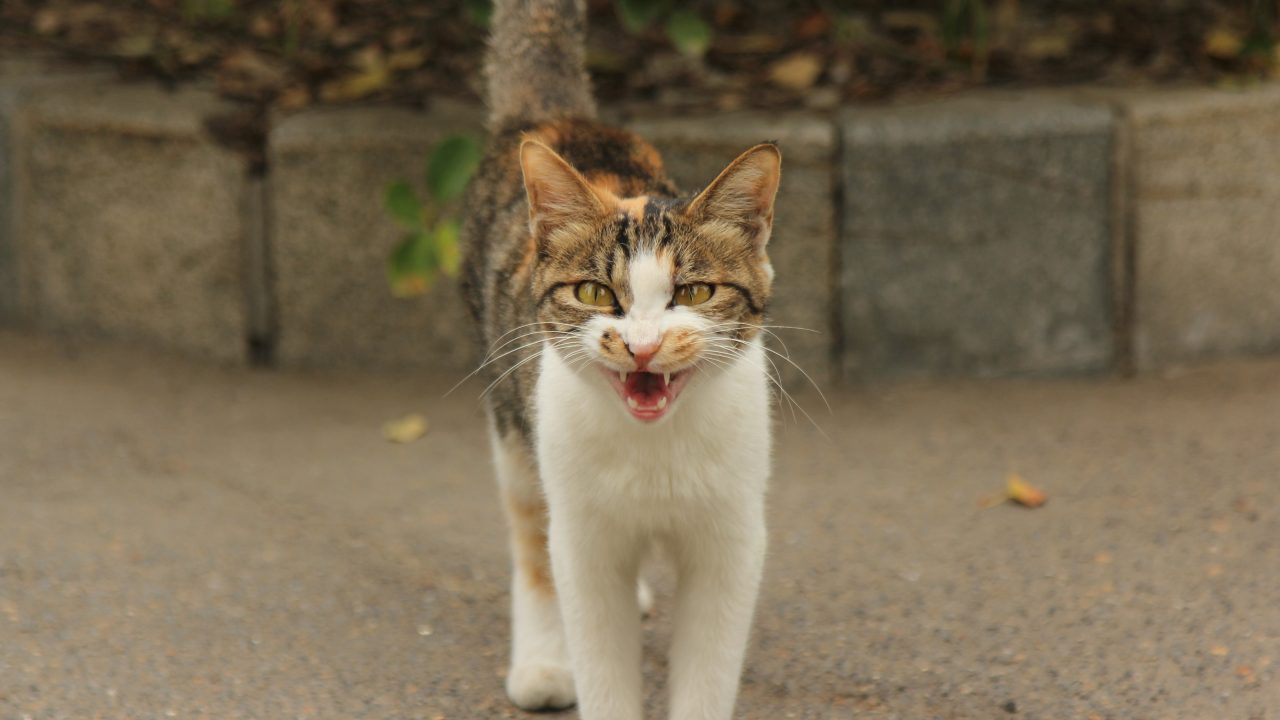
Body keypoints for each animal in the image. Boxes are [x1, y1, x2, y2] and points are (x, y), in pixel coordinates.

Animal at [460, 1, 778, 717]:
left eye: (694, 293)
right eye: (594, 294)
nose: (644, 345)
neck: (653, 450)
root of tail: (557, 116)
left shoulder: (730, 539)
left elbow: (708, 670)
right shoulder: (585, 538)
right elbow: (595, 646)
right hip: (512, 417)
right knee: (532, 537)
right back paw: (543, 661)